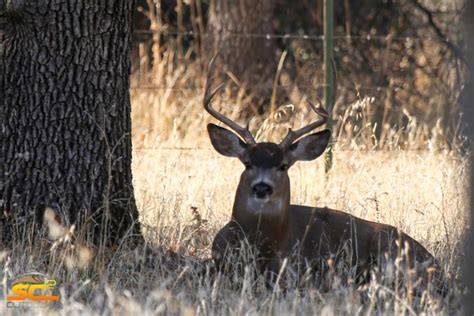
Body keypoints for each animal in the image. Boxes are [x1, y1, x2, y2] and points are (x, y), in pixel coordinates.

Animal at [203, 56, 444, 294]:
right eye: (247, 163)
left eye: (283, 166)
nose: (262, 187)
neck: (264, 245)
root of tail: (435, 264)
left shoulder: (293, 269)